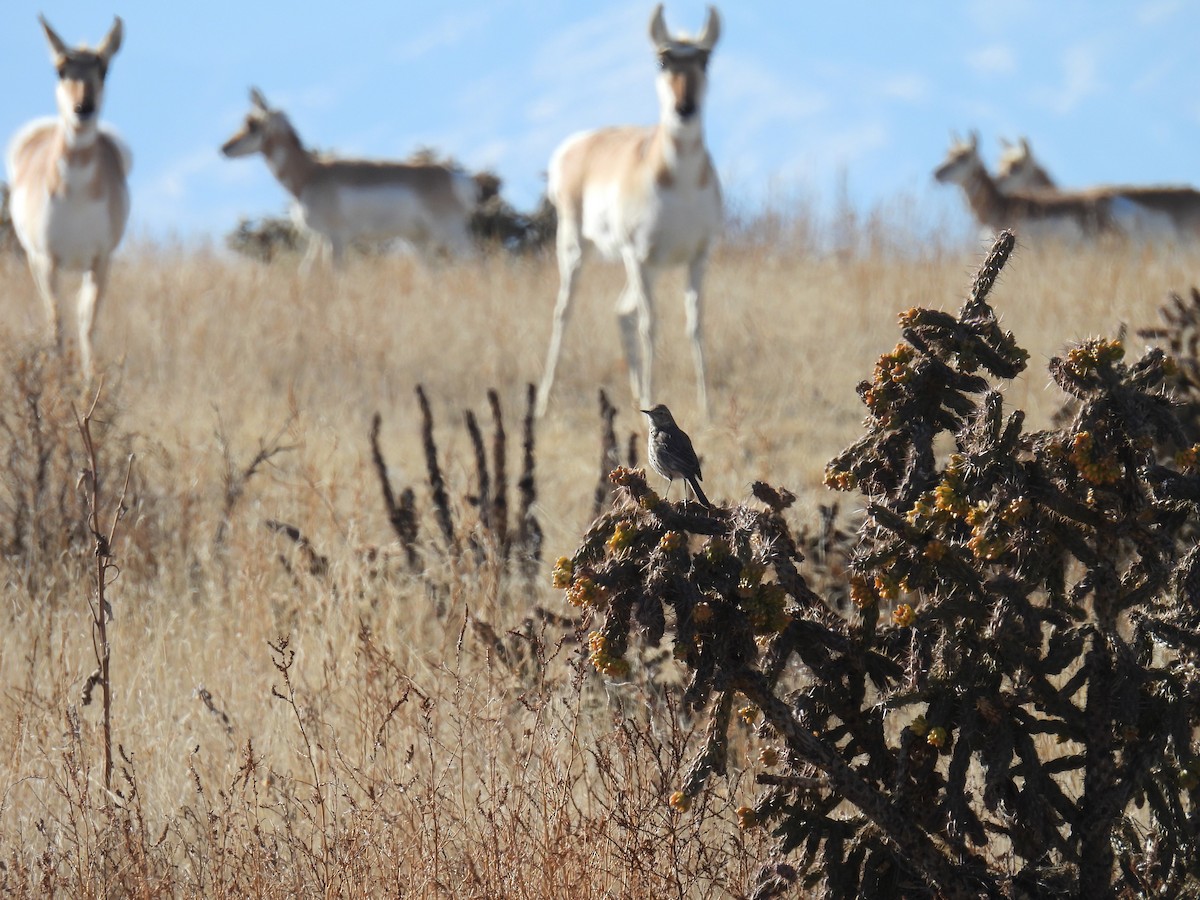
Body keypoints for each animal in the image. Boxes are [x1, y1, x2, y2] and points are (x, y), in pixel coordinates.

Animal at [6, 16, 129, 376]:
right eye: (60, 69)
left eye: (104, 68)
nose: (83, 108)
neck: (77, 196)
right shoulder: (47, 260)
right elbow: (56, 324)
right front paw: (59, 378)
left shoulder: (101, 260)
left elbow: (87, 324)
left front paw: (90, 381)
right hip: (36, 261)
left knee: (80, 311)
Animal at [223, 89, 484, 270]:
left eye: (253, 124)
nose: (224, 148)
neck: (310, 174)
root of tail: (454, 176)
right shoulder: (318, 238)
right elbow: (306, 271)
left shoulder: (336, 238)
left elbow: (337, 273)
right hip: (418, 241)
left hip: (452, 233)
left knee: (477, 264)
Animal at [537, 4, 720, 420]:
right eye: (663, 59)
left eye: (704, 59)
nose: (685, 109)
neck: (681, 184)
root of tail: (576, 145)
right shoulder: (638, 256)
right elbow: (651, 325)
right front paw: (655, 395)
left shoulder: (697, 257)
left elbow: (696, 325)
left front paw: (706, 408)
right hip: (578, 248)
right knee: (564, 311)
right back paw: (542, 402)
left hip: (645, 266)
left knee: (621, 311)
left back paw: (637, 397)